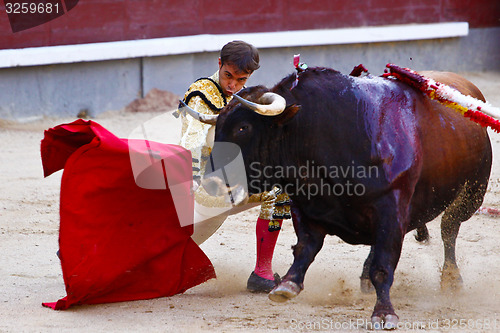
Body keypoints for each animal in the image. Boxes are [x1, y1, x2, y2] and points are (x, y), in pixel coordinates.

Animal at [193, 67, 490, 326]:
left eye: (243, 128)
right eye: (218, 128)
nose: (211, 183)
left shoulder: (391, 208)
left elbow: (384, 264)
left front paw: (384, 314)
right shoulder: (307, 204)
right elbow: (306, 247)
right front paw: (287, 284)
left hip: (471, 194)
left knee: (449, 228)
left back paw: (451, 279)